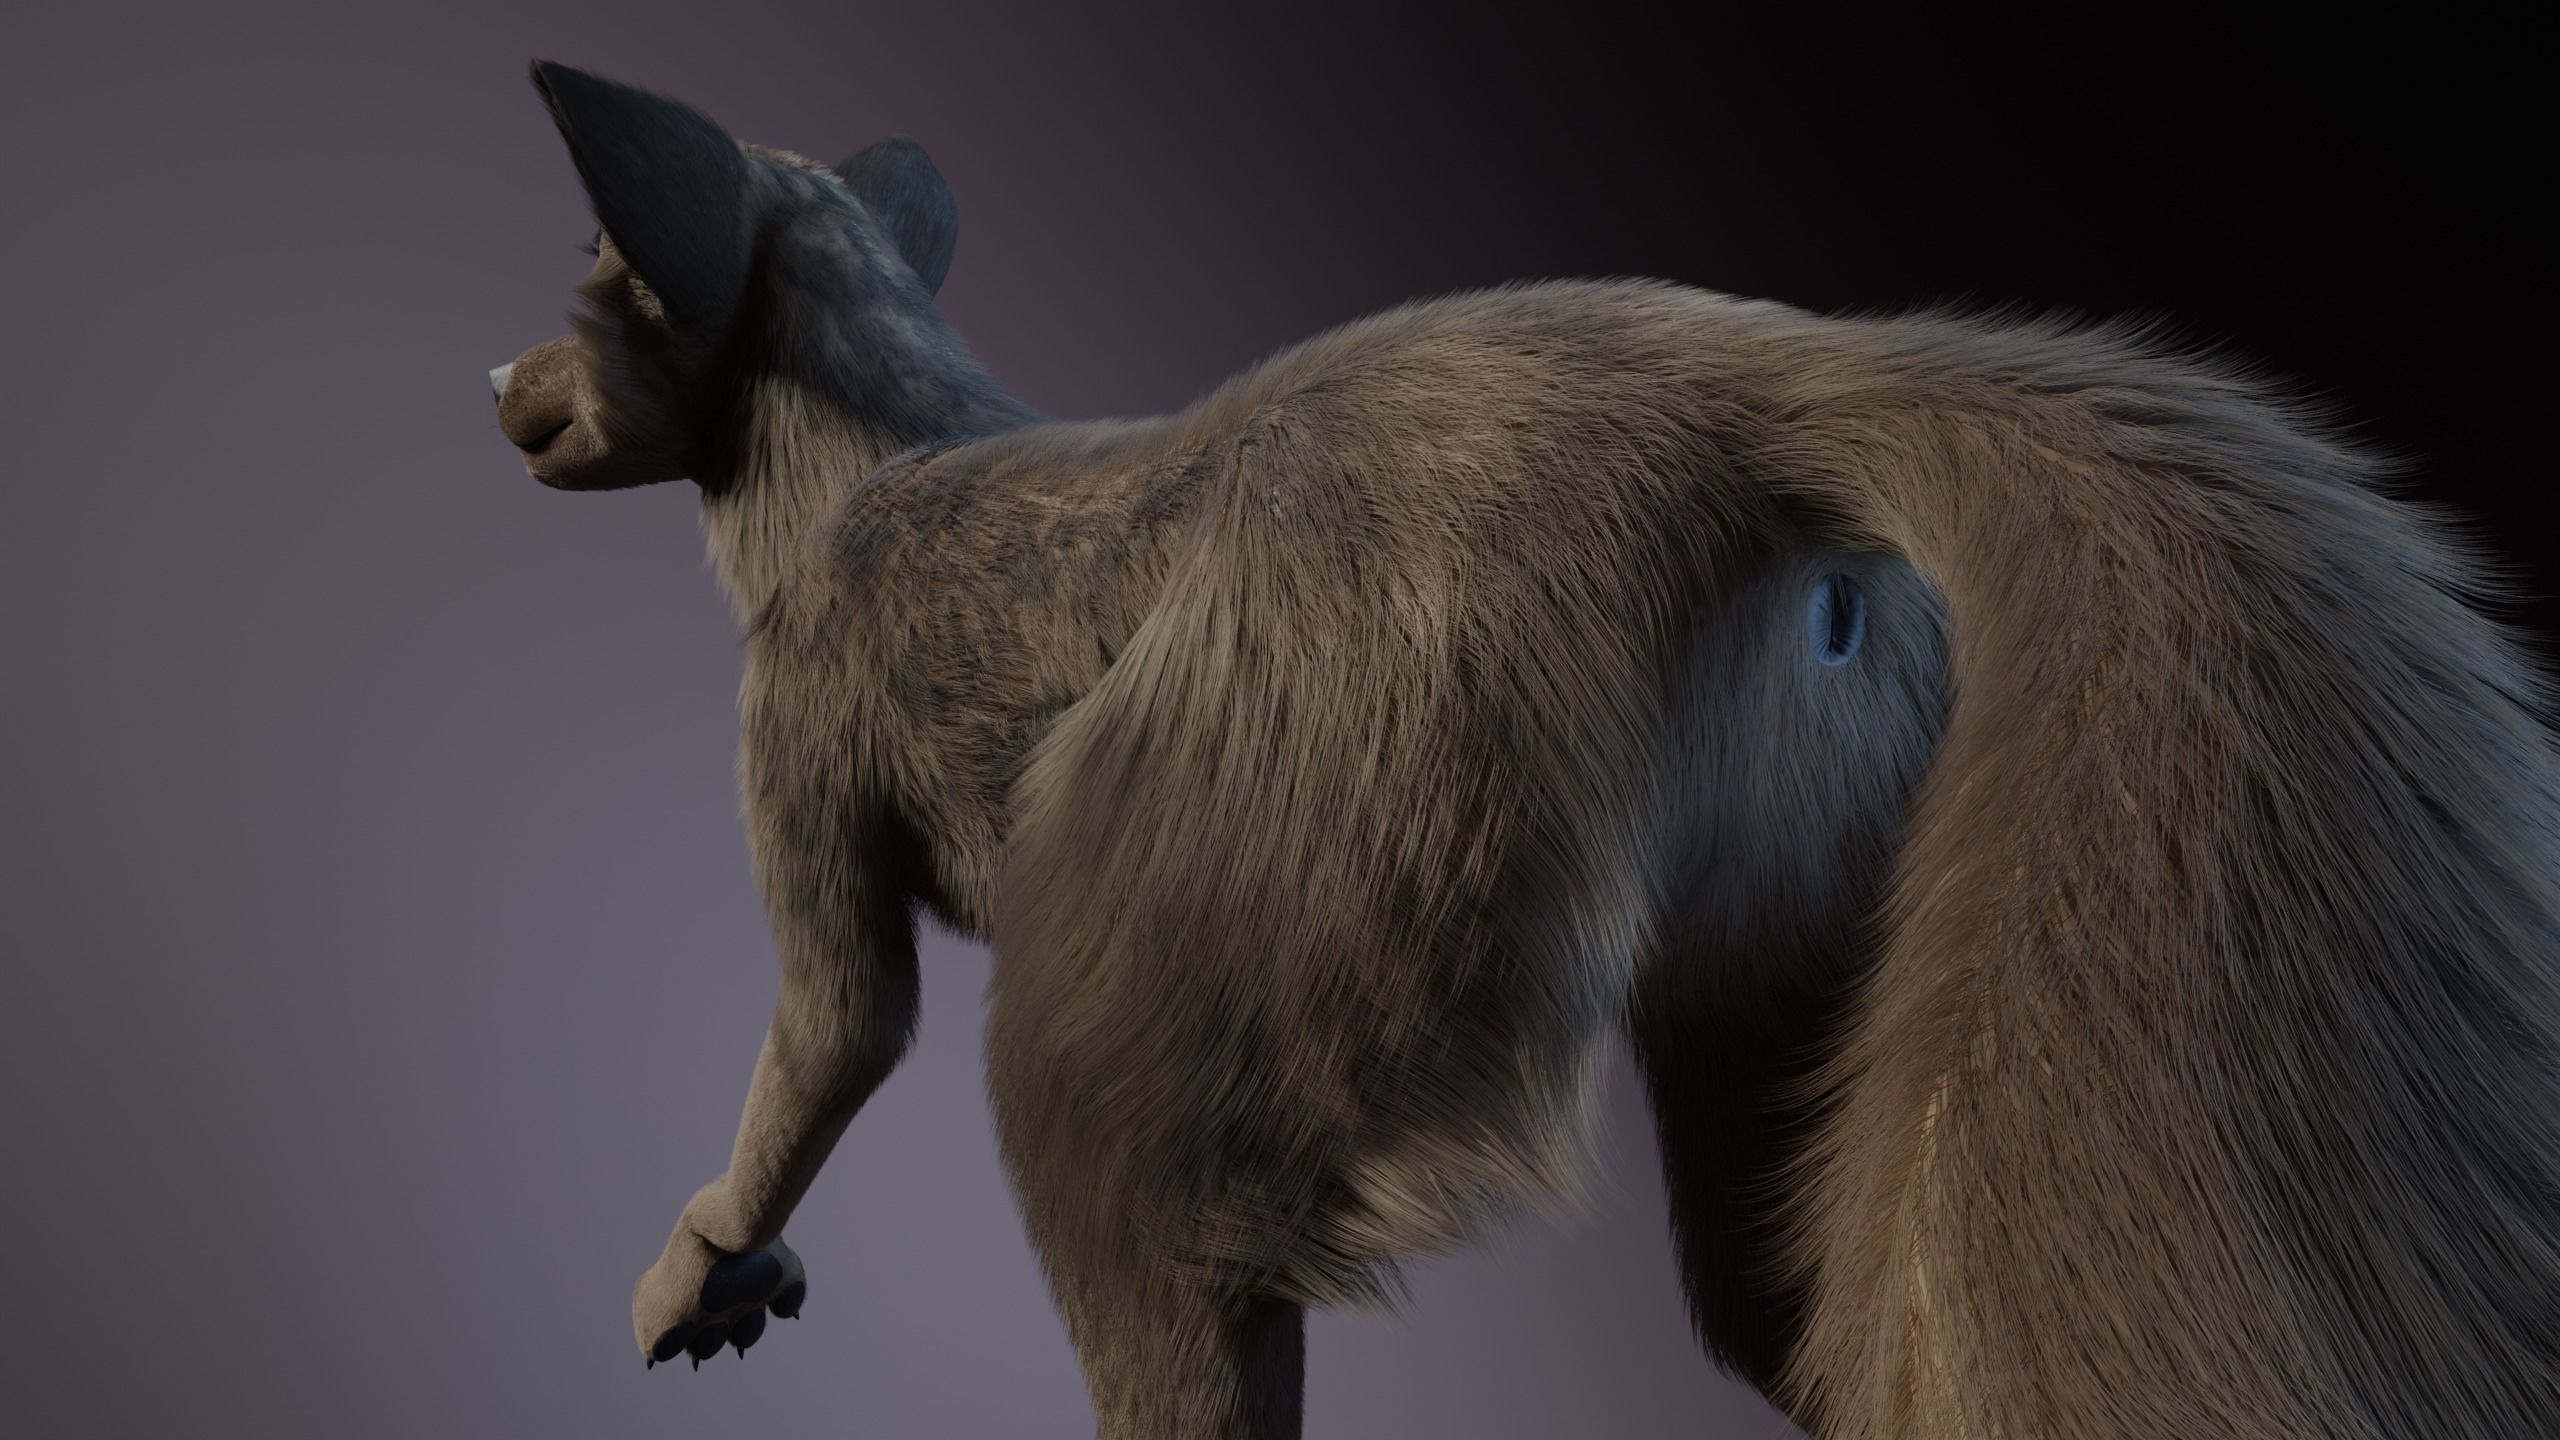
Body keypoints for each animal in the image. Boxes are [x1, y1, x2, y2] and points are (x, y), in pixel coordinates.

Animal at [491, 61, 2560, 1439]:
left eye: (597, 275)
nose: (499, 379)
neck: (878, 439)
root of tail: (1740, 394)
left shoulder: (801, 725)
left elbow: (841, 1026)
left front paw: (699, 1262)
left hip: (1270, 874)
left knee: (1130, 1202)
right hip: (1796, 928)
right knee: (1791, 1292)